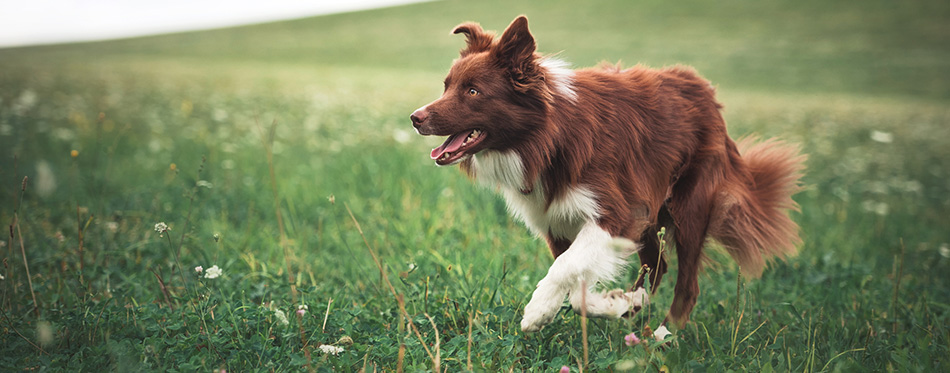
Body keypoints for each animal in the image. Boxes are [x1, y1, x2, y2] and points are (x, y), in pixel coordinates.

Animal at [412, 15, 808, 332]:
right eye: (446, 86)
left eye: (473, 91)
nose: (415, 118)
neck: (546, 138)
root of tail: (705, 91)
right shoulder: (558, 221)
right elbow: (576, 285)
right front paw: (616, 304)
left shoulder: (617, 212)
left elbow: (565, 269)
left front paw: (537, 312)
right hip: (653, 216)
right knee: (658, 266)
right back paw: (636, 305)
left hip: (689, 205)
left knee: (687, 284)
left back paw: (661, 338)